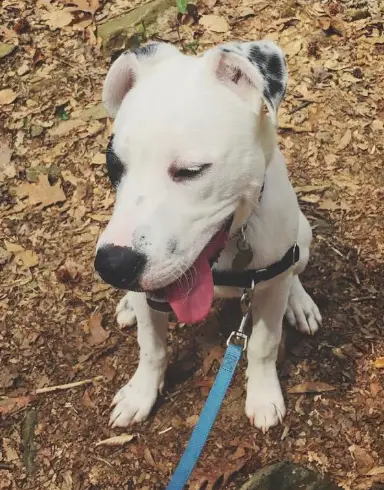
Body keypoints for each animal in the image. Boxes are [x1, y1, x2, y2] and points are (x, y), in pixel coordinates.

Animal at [95, 42, 320, 432]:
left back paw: (300, 302)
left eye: (191, 171)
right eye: (113, 164)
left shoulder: (270, 287)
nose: (113, 265)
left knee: (293, 273)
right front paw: (140, 393)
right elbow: (151, 347)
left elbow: (263, 344)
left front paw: (263, 396)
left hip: (302, 240)